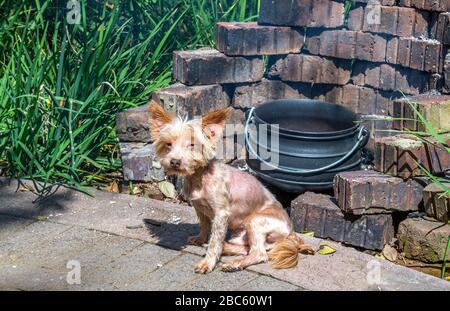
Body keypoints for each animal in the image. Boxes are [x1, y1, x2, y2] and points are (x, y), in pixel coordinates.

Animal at [149, 101, 312, 274]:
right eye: (168, 144)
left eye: (192, 145)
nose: (174, 161)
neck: (200, 177)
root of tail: (292, 234)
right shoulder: (199, 208)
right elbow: (205, 226)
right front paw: (200, 239)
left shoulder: (221, 214)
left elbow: (215, 241)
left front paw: (208, 263)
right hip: (241, 235)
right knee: (246, 248)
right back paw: (228, 253)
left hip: (256, 221)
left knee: (259, 254)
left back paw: (235, 263)